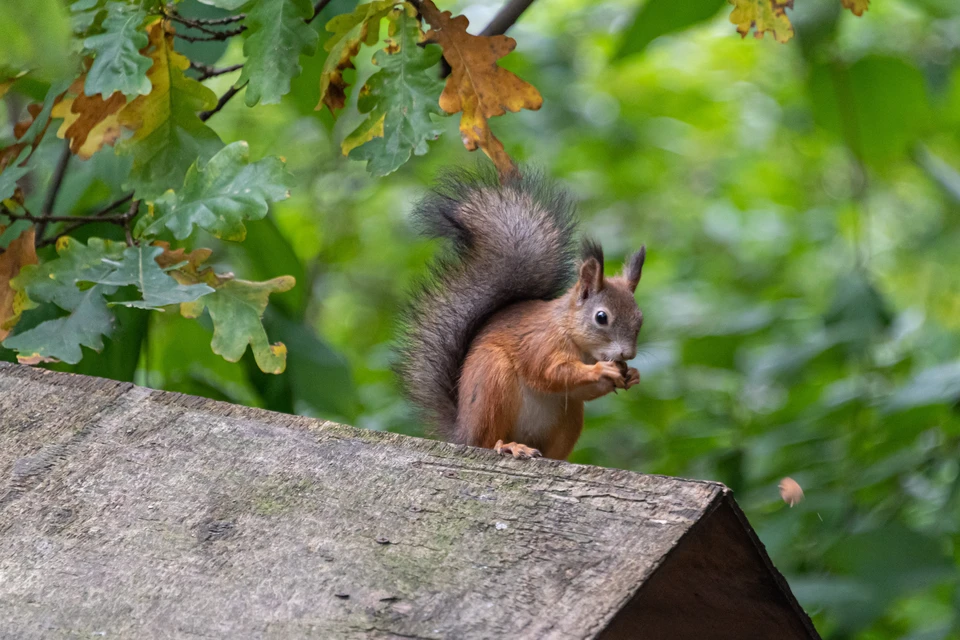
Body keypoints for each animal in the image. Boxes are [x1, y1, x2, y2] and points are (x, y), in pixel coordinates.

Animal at [398, 166, 644, 460]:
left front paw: (631, 375)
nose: (627, 355)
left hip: (569, 414)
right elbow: (550, 372)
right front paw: (600, 369)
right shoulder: (539, 343)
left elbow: (582, 391)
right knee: (487, 439)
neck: (573, 337)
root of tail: (463, 435)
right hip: (492, 380)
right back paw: (508, 445)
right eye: (601, 317)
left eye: (640, 319)